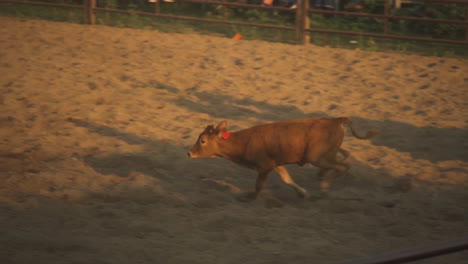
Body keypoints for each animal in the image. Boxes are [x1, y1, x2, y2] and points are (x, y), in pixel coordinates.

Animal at [186, 117, 376, 198]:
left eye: (203, 140)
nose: (189, 153)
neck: (244, 141)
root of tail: (336, 120)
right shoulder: (275, 164)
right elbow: (287, 179)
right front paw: (302, 193)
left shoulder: (264, 166)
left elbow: (259, 185)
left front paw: (250, 197)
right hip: (326, 154)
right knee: (342, 159)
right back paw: (323, 178)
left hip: (317, 157)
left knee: (343, 166)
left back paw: (324, 185)